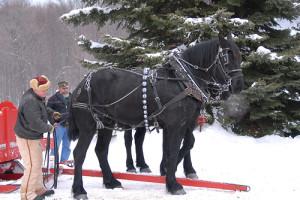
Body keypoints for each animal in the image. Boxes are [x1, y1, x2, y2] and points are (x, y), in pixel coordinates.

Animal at [68, 34, 244, 198]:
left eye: (240, 57)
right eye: (226, 58)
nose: (238, 85)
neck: (184, 82)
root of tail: (80, 86)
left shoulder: (185, 124)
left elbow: (187, 144)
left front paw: (169, 170)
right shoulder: (176, 126)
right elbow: (173, 152)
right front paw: (173, 183)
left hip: (107, 123)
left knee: (102, 150)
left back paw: (111, 181)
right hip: (89, 126)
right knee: (79, 154)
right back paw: (79, 190)